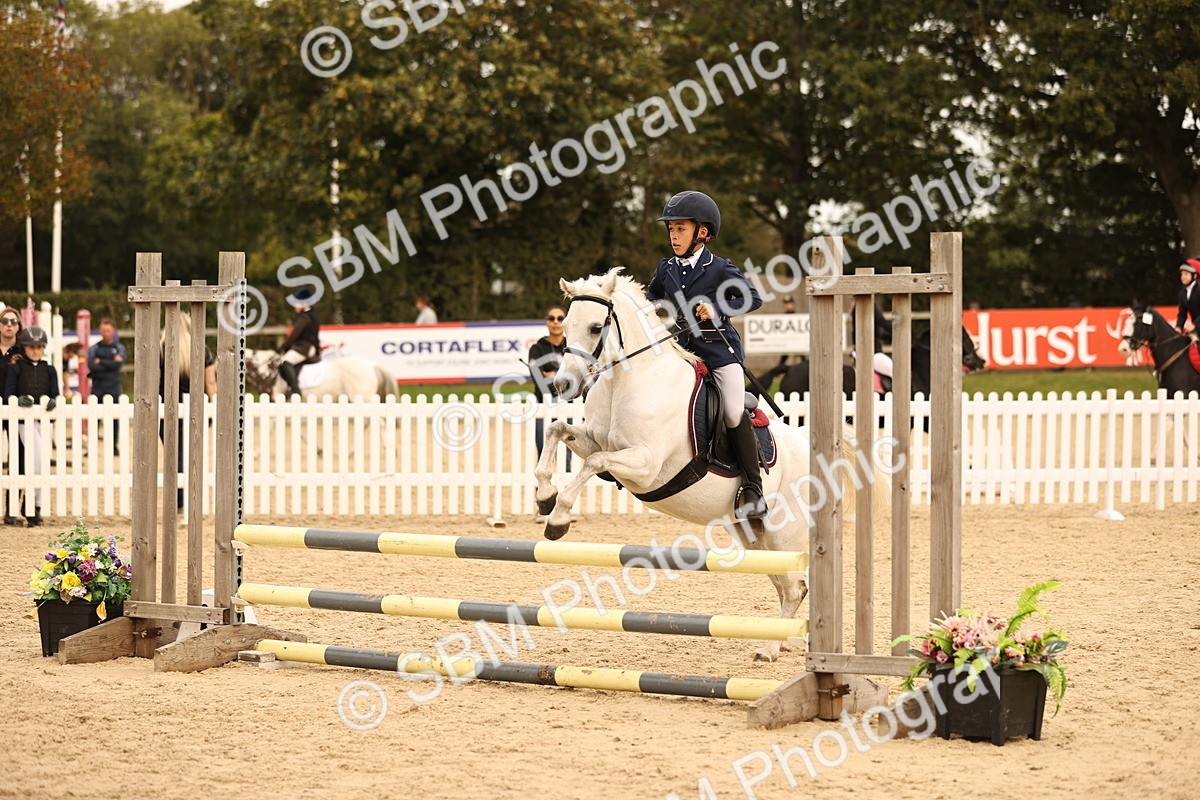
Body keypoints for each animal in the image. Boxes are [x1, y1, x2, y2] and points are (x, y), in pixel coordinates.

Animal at [533, 268, 890, 662]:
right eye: (566, 325)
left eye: (597, 327)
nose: (562, 384)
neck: (630, 380)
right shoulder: (599, 444)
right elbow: (557, 429)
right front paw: (545, 496)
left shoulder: (644, 464)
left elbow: (594, 462)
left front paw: (558, 518)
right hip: (754, 537)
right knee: (786, 586)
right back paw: (784, 641)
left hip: (784, 534)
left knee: (796, 587)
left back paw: (771, 649)